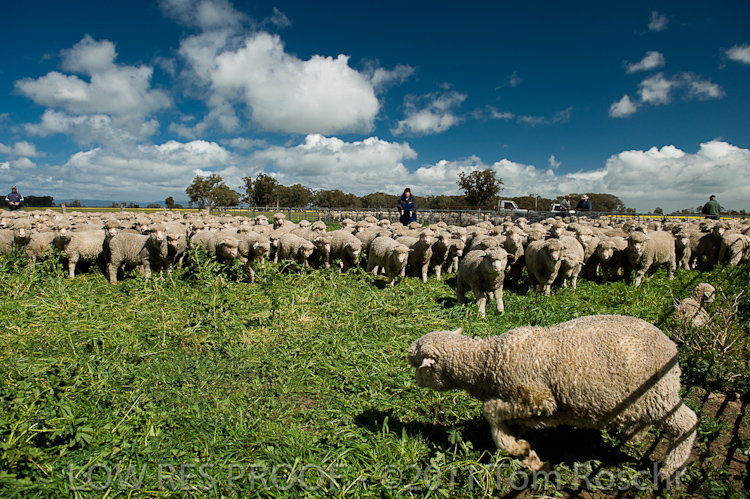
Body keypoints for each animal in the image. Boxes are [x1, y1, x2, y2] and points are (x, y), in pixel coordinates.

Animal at [407, 315, 697, 479]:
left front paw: (520, 449)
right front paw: (526, 455)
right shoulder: (528, 407)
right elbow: (504, 430)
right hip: (646, 398)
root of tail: (671, 347)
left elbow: (489, 411)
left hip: (659, 394)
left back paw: (671, 468)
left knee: (688, 422)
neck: (486, 362)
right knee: (648, 419)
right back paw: (631, 434)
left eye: (418, 364)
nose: (415, 381)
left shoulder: (537, 399)